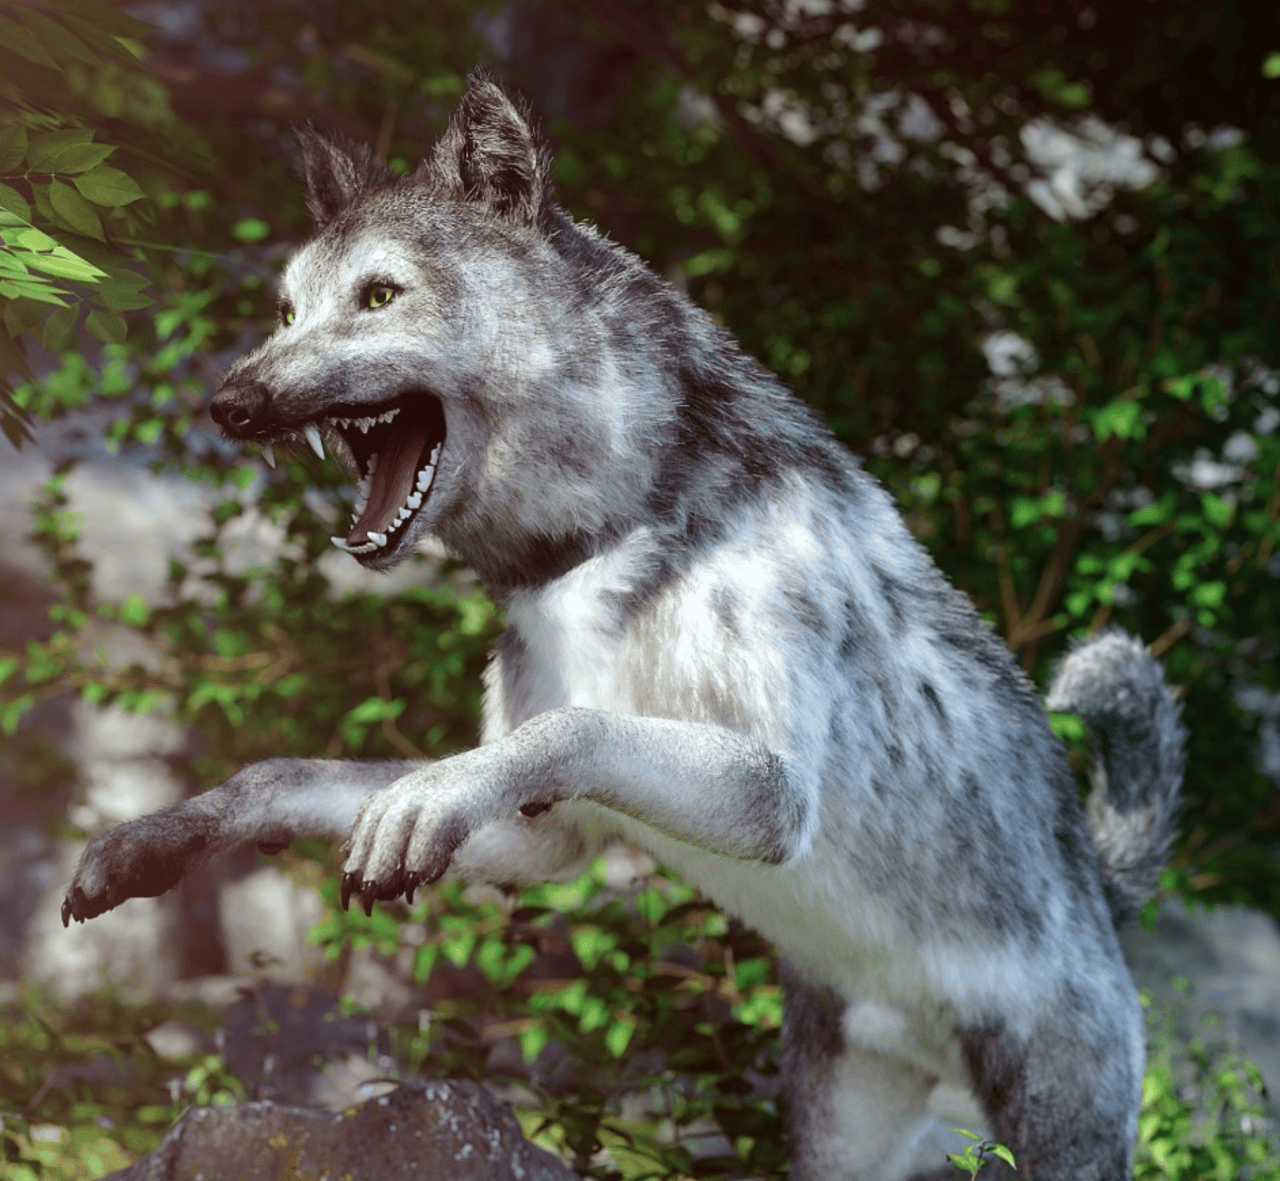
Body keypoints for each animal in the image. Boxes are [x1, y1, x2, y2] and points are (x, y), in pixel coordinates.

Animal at [63, 75, 1185, 1180]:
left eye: (377, 296)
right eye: (287, 310)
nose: (232, 403)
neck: (610, 529)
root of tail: (1104, 894)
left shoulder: (773, 791)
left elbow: (572, 727)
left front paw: (418, 801)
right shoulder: (543, 841)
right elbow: (284, 773)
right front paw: (154, 841)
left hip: (1059, 1133)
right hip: (840, 1136)